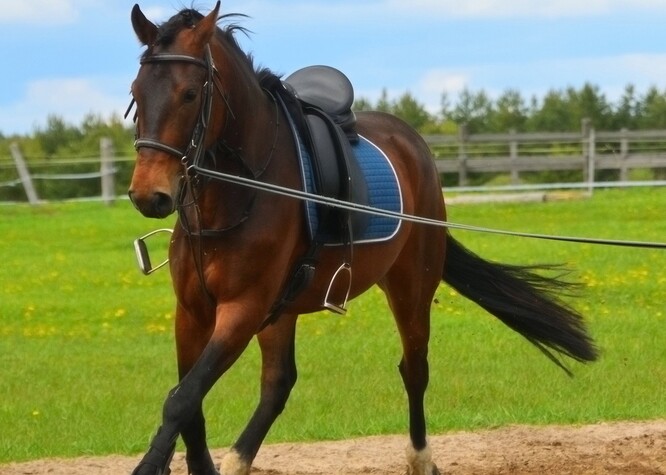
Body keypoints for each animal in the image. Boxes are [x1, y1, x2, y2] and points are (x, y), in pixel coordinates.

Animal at [126, 1, 596, 474]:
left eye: (189, 94)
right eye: (135, 92)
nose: (149, 194)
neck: (236, 195)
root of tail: (412, 143)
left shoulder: (242, 310)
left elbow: (182, 399)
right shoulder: (193, 312)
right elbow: (190, 405)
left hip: (410, 285)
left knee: (414, 369)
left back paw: (420, 458)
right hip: (285, 308)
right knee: (278, 383)